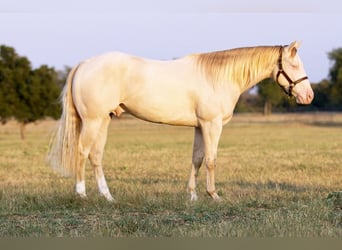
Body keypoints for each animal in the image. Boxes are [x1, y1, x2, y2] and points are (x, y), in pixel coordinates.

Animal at [46, 40, 314, 201]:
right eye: (294, 64)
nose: (309, 96)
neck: (218, 76)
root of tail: (85, 64)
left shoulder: (200, 126)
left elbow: (196, 160)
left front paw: (192, 196)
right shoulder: (212, 125)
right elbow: (211, 160)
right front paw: (214, 195)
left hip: (104, 120)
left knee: (96, 156)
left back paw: (108, 197)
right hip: (93, 121)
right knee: (82, 152)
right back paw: (81, 194)